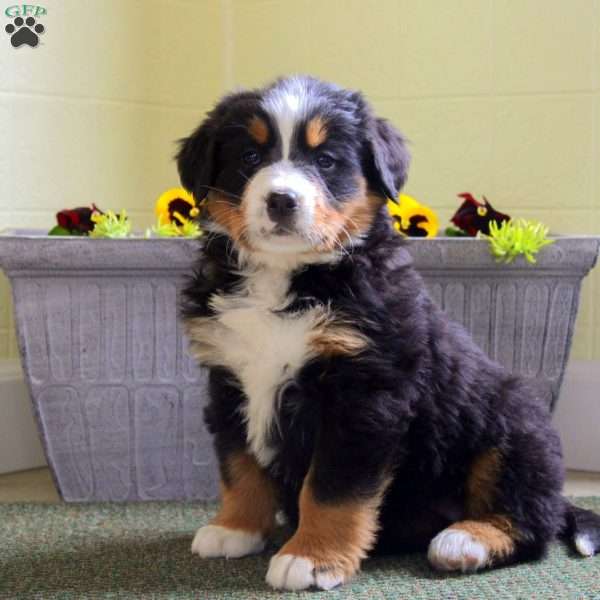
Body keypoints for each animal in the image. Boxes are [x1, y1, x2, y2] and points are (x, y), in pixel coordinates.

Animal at [176, 75, 596, 592]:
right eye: (250, 157)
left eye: (326, 161)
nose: (282, 200)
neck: (287, 278)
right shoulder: (229, 376)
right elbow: (239, 465)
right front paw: (234, 528)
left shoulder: (364, 393)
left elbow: (331, 488)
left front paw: (311, 558)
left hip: (512, 425)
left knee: (533, 521)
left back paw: (465, 541)